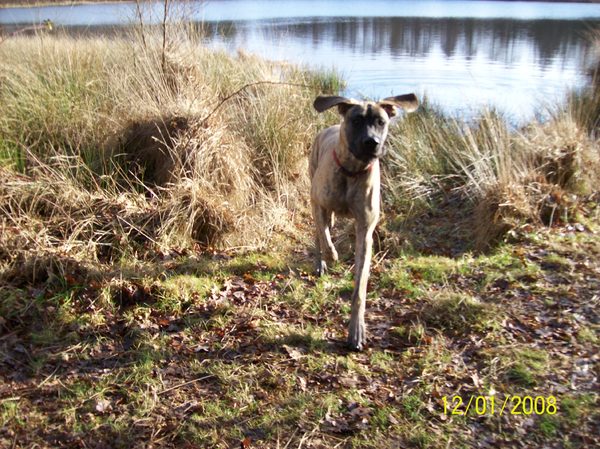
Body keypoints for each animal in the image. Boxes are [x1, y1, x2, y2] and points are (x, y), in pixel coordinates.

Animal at [310, 92, 418, 350]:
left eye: (381, 122)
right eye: (356, 120)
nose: (372, 143)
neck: (352, 170)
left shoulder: (365, 231)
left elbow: (360, 288)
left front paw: (356, 330)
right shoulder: (318, 202)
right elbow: (324, 237)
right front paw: (331, 255)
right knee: (319, 233)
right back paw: (321, 262)